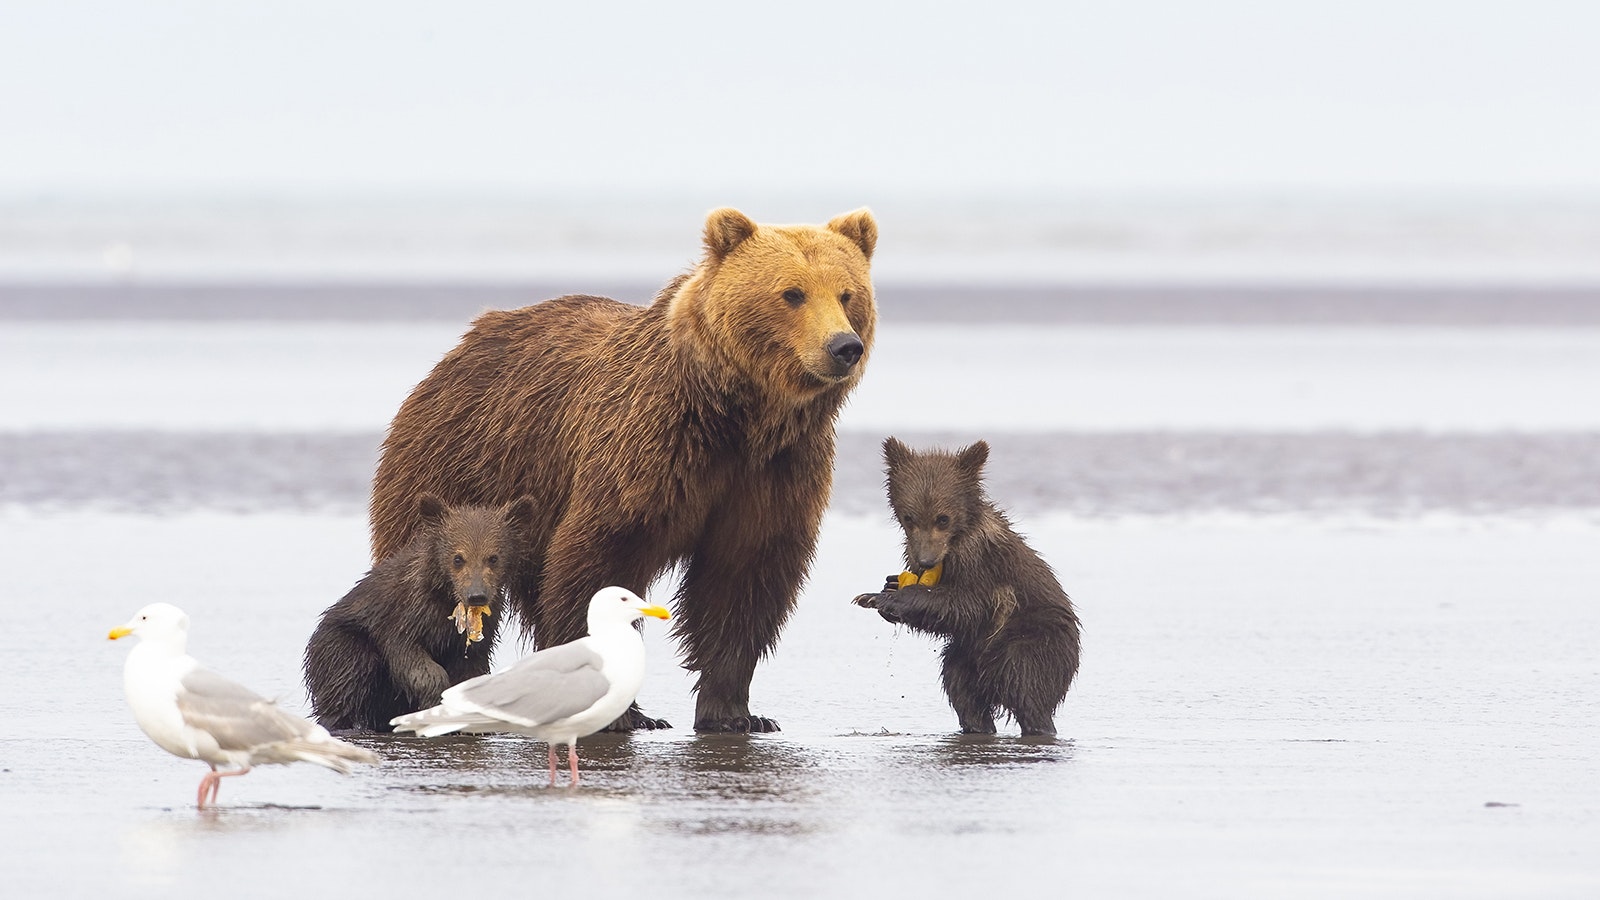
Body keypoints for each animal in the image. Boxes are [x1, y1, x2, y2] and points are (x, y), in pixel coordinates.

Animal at [302, 490, 540, 730]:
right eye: (458, 558)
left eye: (493, 557)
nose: (476, 595)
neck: (446, 599)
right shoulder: (405, 614)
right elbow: (408, 655)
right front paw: (433, 700)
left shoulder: (482, 630)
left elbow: (470, 667)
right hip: (342, 642)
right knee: (347, 679)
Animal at [369, 206, 883, 733]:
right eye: (793, 293)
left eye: (847, 293)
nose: (844, 346)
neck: (735, 416)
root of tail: (460, 347)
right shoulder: (646, 453)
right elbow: (599, 558)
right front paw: (623, 712)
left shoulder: (775, 470)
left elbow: (743, 578)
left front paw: (736, 713)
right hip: (463, 466)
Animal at [857, 435, 1081, 736]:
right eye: (909, 517)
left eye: (943, 518)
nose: (926, 560)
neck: (954, 545)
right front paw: (887, 588)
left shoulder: (985, 566)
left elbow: (967, 605)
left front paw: (884, 598)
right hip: (965, 658)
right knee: (961, 689)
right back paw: (978, 726)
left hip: (1035, 642)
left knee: (1027, 688)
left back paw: (1039, 725)